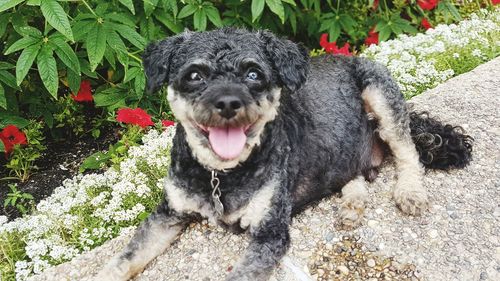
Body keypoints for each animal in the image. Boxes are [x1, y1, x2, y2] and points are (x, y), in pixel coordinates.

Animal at [96, 26, 472, 280]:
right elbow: (123, 260)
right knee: (354, 173)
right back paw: (351, 206)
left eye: (253, 73)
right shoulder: (168, 213)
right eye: (195, 75)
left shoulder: (270, 231)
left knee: (407, 151)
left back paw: (409, 191)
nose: (228, 103)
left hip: (380, 94)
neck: (220, 174)